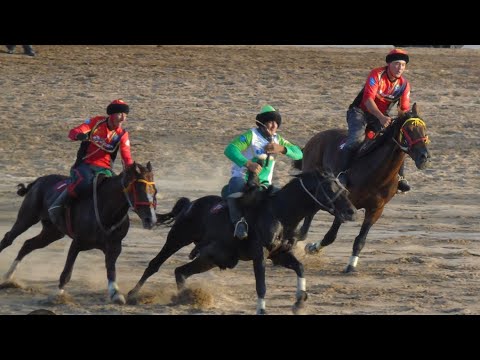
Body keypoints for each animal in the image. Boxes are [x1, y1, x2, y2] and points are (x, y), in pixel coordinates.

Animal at [0, 162, 158, 302]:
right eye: (138, 189)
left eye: (155, 191)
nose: (151, 219)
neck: (104, 209)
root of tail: (38, 181)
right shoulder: (77, 243)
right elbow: (67, 272)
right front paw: (58, 295)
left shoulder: (114, 247)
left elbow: (111, 270)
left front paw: (115, 293)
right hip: (27, 217)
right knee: (8, 238)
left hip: (52, 232)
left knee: (28, 245)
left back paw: (8, 277)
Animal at [127, 170, 356, 314]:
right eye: (330, 187)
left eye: (343, 187)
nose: (351, 211)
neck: (280, 213)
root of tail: (190, 204)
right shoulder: (259, 255)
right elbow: (261, 285)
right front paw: (261, 309)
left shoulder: (280, 255)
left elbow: (300, 267)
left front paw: (300, 300)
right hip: (177, 238)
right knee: (155, 264)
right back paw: (132, 295)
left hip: (211, 257)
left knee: (180, 271)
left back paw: (186, 298)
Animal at [292, 104, 432, 272]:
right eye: (408, 130)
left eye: (424, 129)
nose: (424, 157)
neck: (376, 174)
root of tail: (316, 137)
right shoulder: (347, 204)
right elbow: (331, 236)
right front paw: (312, 247)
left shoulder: (376, 210)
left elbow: (360, 240)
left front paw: (351, 265)